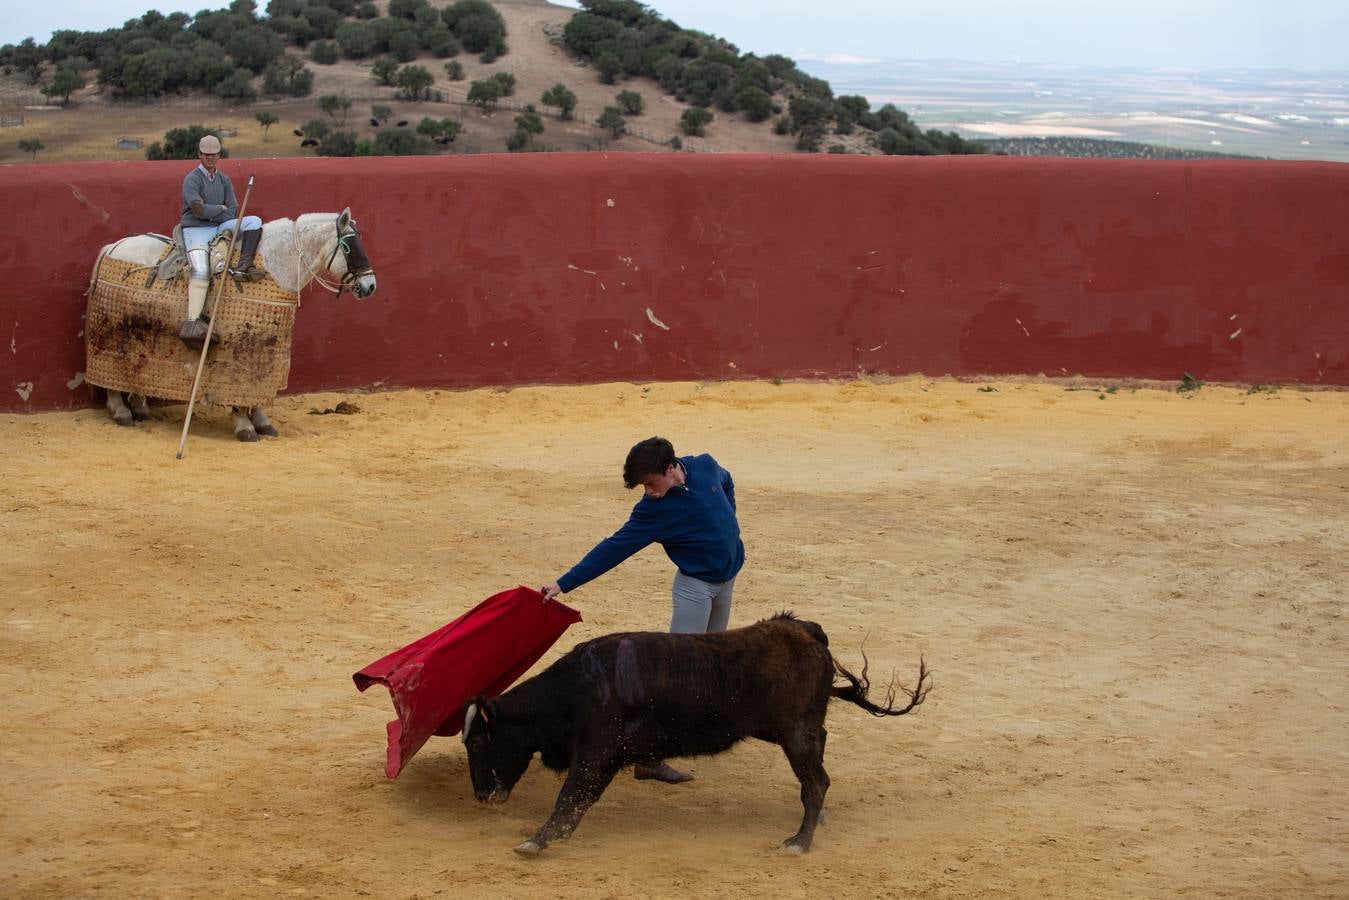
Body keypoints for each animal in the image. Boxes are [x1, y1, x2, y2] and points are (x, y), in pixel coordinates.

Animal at [89, 209, 375, 439]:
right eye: (349, 247)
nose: (370, 286)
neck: (272, 266)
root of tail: (113, 246)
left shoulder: (266, 352)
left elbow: (258, 389)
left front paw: (262, 423)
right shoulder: (239, 353)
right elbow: (238, 389)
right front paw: (245, 427)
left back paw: (139, 407)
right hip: (114, 331)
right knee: (108, 371)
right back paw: (121, 411)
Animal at [461, 612, 928, 858]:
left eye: (478, 742)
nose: (481, 796)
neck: (576, 688)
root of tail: (803, 630)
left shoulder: (596, 751)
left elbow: (570, 795)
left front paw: (537, 840)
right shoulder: (603, 757)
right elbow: (578, 799)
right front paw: (554, 835)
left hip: (796, 733)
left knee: (815, 782)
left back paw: (799, 841)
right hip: (796, 731)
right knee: (819, 770)